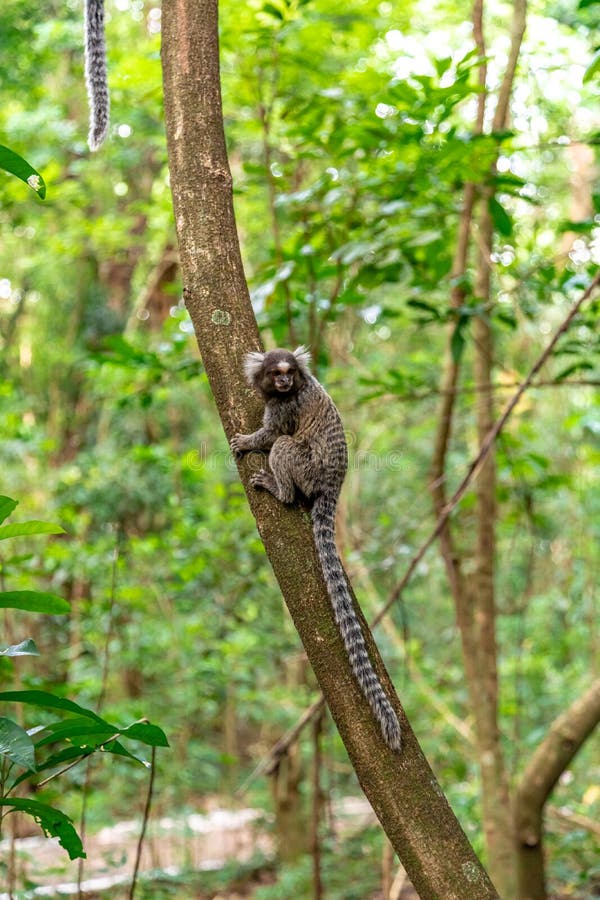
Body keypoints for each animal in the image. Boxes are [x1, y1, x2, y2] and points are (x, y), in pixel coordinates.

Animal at [232, 348, 400, 748]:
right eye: (276, 372)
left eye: (288, 373)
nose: (283, 382)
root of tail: (330, 488)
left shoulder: (285, 408)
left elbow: (272, 434)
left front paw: (246, 441)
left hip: (306, 469)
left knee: (284, 447)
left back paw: (280, 490)